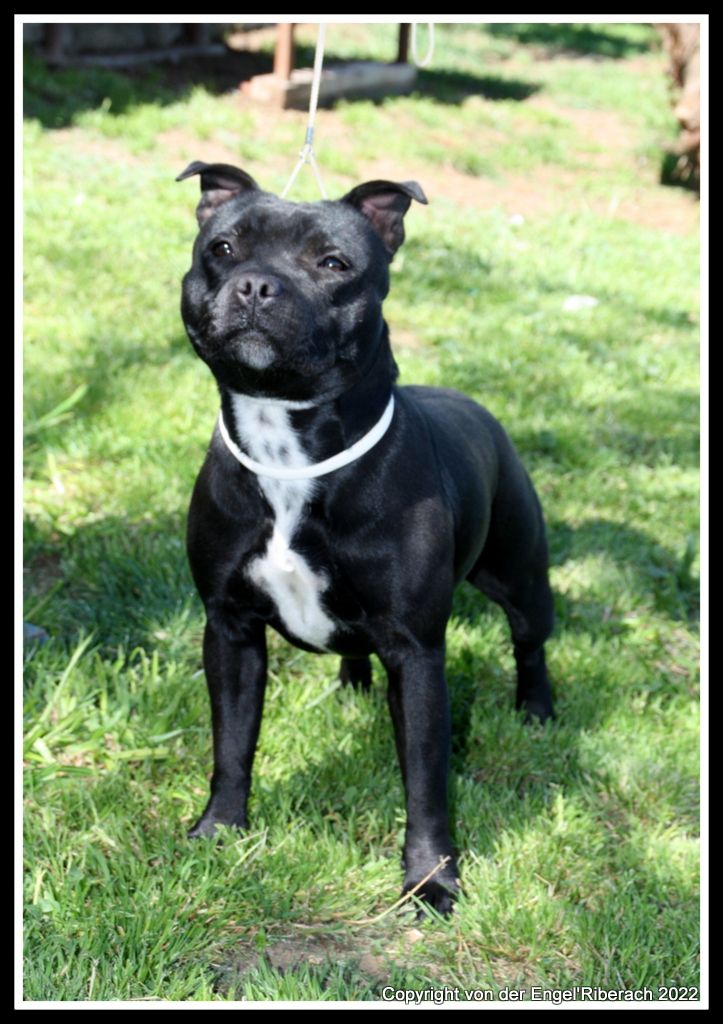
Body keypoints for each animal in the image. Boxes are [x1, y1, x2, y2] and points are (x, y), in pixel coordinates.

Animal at [177, 161, 555, 915]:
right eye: (223, 249)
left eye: (333, 263)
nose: (256, 285)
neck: (288, 446)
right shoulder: (229, 630)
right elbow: (230, 743)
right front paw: (220, 829)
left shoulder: (416, 652)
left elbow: (426, 783)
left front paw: (431, 880)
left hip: (521, 575)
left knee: (530, 643)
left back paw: (536, 711)